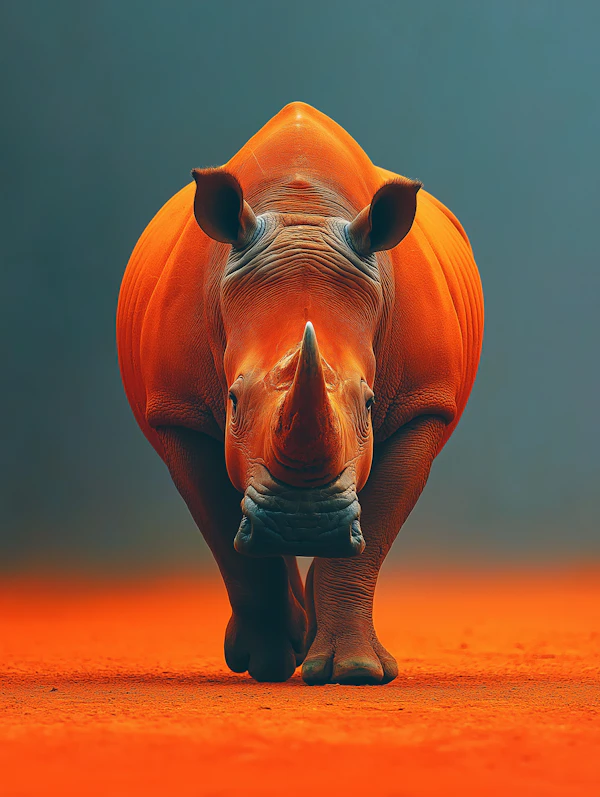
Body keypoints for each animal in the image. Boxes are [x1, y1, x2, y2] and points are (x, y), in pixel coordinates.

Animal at [117, 102, 483, 684]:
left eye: (370, 404)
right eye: (232, 402)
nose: (302, 524)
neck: (300, 212)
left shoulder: (423, 404)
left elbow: (375, 530)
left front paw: (354, 672)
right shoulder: (178, 412)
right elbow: (226, 535)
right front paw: (266, 664)